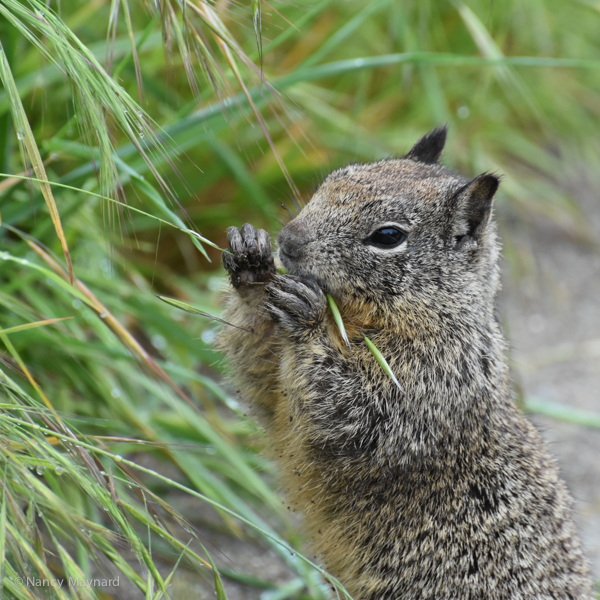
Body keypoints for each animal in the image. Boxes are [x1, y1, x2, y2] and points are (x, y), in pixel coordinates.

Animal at [216, 127, 592, 600]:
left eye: (388, 235)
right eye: (334, 179)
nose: (289, 240)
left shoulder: (426, 380)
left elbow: (348, 407)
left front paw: (310, 314)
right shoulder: (278, 390)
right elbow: (261, 377)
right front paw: (252, 261)